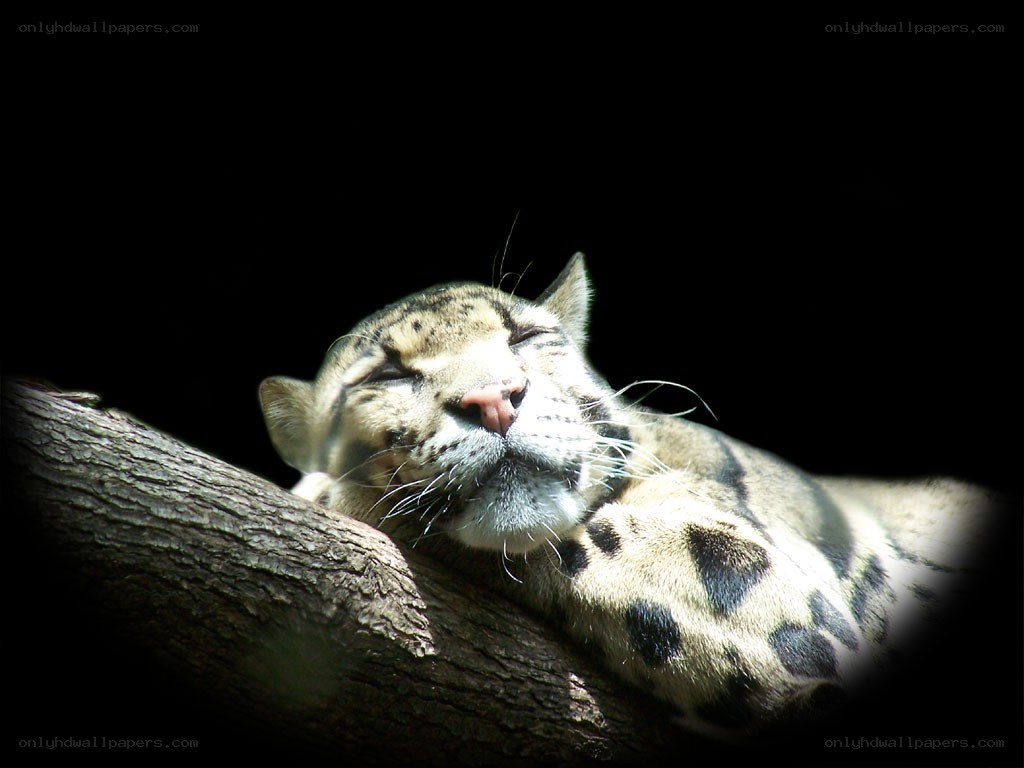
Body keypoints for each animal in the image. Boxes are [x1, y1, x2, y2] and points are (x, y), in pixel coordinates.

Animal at [258, 253, 1000, 737]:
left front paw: (336, 492)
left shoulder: (776, 593)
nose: (494, 400)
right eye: (384, 376)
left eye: (528, 336)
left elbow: (581, 540)